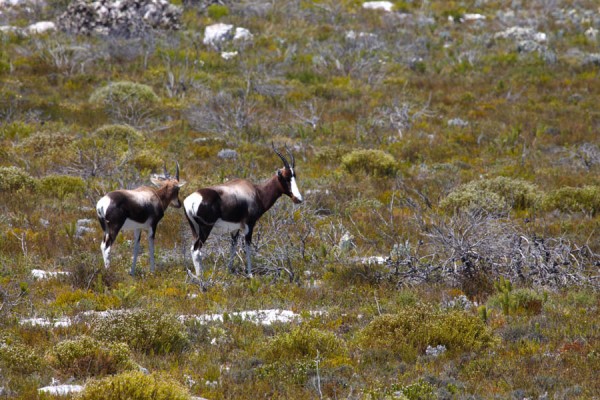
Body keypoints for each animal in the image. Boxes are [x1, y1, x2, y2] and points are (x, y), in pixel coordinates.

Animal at [183, 144, 304, 278]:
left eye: (294, 176)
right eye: (286, 178)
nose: (298, 198)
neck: (256, 192)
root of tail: (190, 200)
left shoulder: (235, 229)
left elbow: (233, 247)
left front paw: (229, 271)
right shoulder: (249, 225)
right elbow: (247, 247)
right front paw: (250, 274)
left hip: (195, 229)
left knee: (192, 249)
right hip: (205, 229)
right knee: (196, 250)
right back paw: (201, 277)